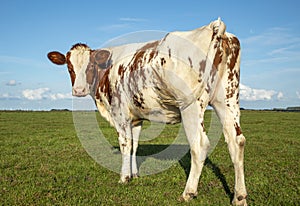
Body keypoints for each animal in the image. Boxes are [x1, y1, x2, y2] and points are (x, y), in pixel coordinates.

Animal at [48, 18, 247, 205]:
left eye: (89, 66)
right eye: (69, 67)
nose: (78, 90)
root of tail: (214, 27)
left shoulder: (120, 114)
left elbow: (125, 145)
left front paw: (124, 178)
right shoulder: (136, 119)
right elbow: (135, 145)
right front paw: (135, 174)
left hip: (191, 106)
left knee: (200, 145)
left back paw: (188, 193)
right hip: (227, 100)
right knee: (236, 141)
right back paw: (239, 197)